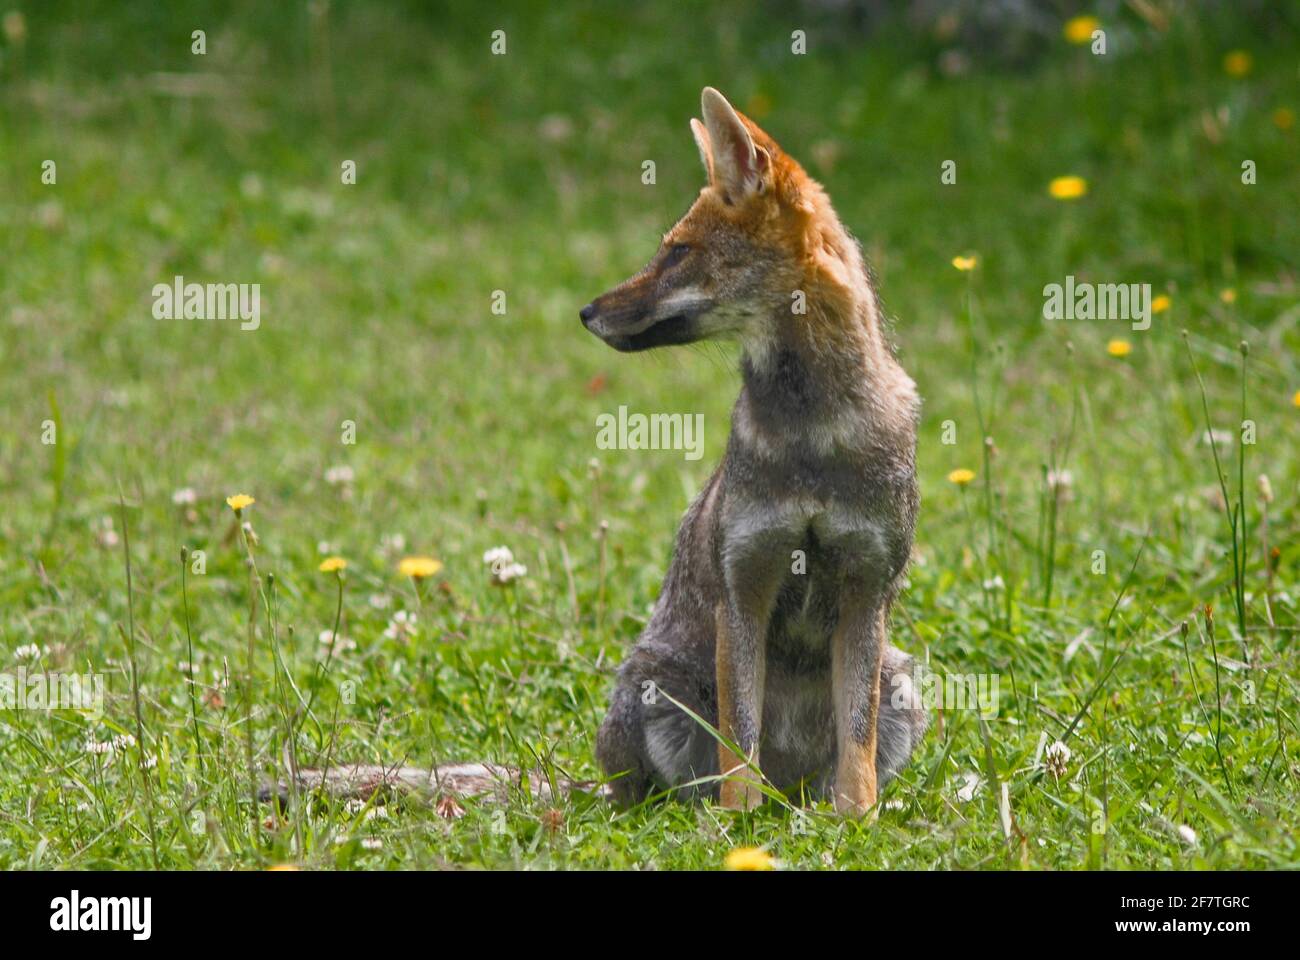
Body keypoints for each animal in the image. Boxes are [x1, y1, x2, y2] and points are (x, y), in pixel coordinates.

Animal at [579, 87, 925, 816]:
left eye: (678, 252)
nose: (586, 312)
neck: (814, 441)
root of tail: (792, 788)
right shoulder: (744, 587)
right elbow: (740, 740)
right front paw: (739, 826)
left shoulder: (866, 589)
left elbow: (857, 749)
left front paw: (859, 822)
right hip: (654, 689)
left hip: (900, 681)